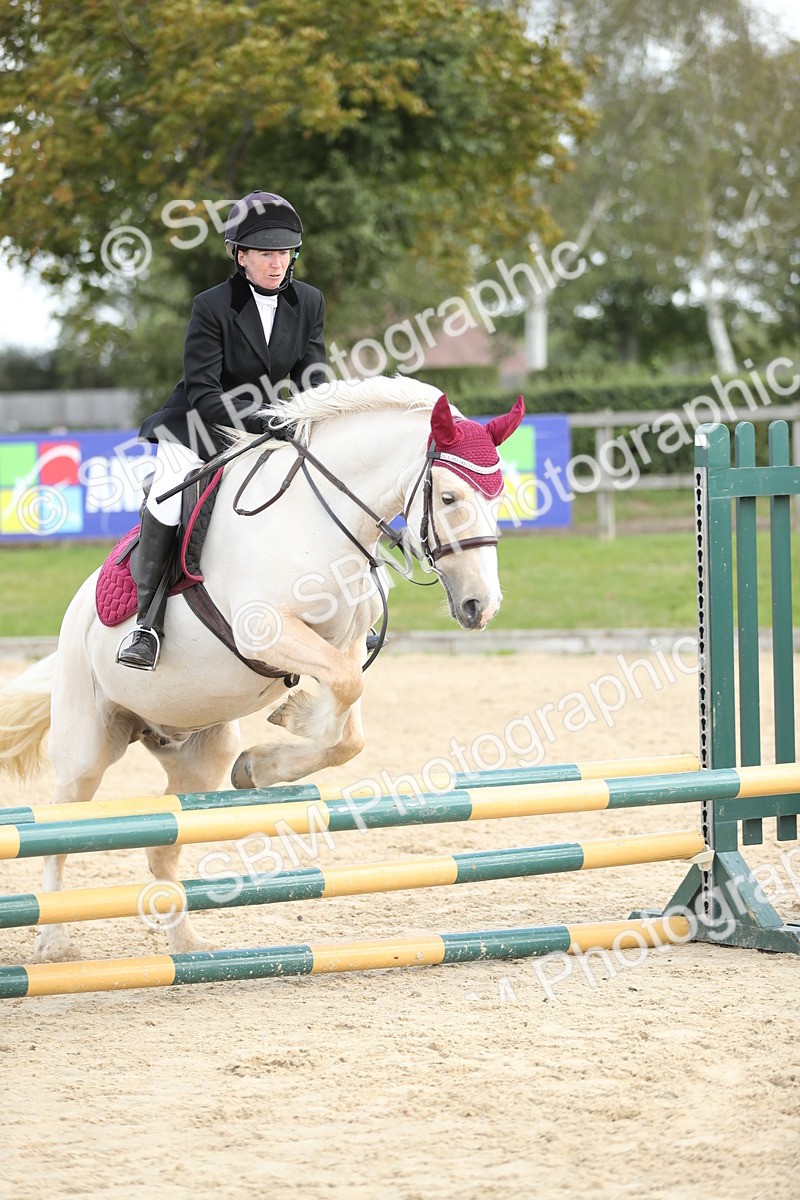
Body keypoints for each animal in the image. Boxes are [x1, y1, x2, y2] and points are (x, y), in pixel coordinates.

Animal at [0, 375, 524, 963]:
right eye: (450, 497)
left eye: (499, 497)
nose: (481, 606)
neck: (316, 520)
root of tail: (74, 617)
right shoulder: (267, 631)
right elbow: (345, 692)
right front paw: (299, 719)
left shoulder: (344, 640)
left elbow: (349, 727)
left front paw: (264, 763)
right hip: (86, 746)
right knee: (61, 831)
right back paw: (54, 943)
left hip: (195, 753)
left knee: (164, 839)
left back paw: (188, 946)